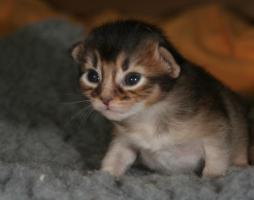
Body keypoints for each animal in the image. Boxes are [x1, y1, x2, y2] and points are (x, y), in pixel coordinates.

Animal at [70, 19, 249, 177]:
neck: (149, 114)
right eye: (92, 76)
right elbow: (115, 157)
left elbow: (217, 157)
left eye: (132, 79)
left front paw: (213, 178)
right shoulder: (124, 140)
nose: (105, 99)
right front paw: (104, 175)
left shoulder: (216, 131)